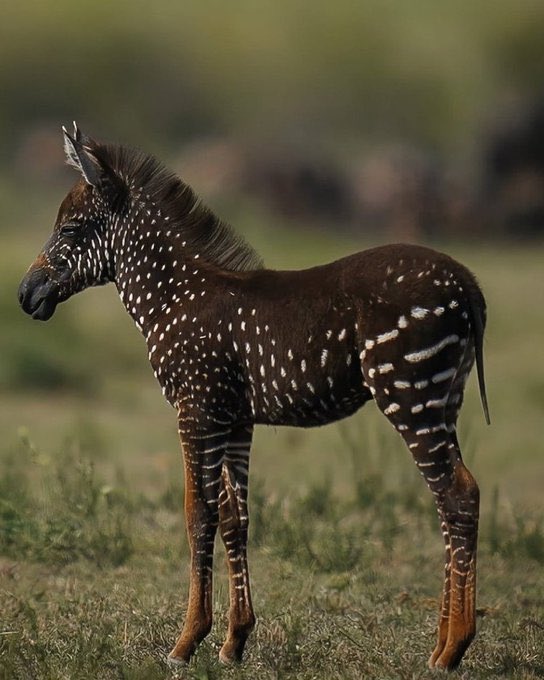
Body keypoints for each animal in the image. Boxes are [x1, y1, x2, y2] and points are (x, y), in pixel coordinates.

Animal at [18, 124, 489, 671]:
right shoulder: (235, 418)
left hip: (410, 396)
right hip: (443, 400)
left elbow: (196, 513)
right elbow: (234, 518)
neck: (173, 296)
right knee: (450, 501)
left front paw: (186, 642)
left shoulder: (196, 409)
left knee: (458, 494)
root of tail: (467, 282)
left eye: (71, 230)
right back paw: (440, 644)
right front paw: (234, 641)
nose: (25, 295)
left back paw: (453, 649)